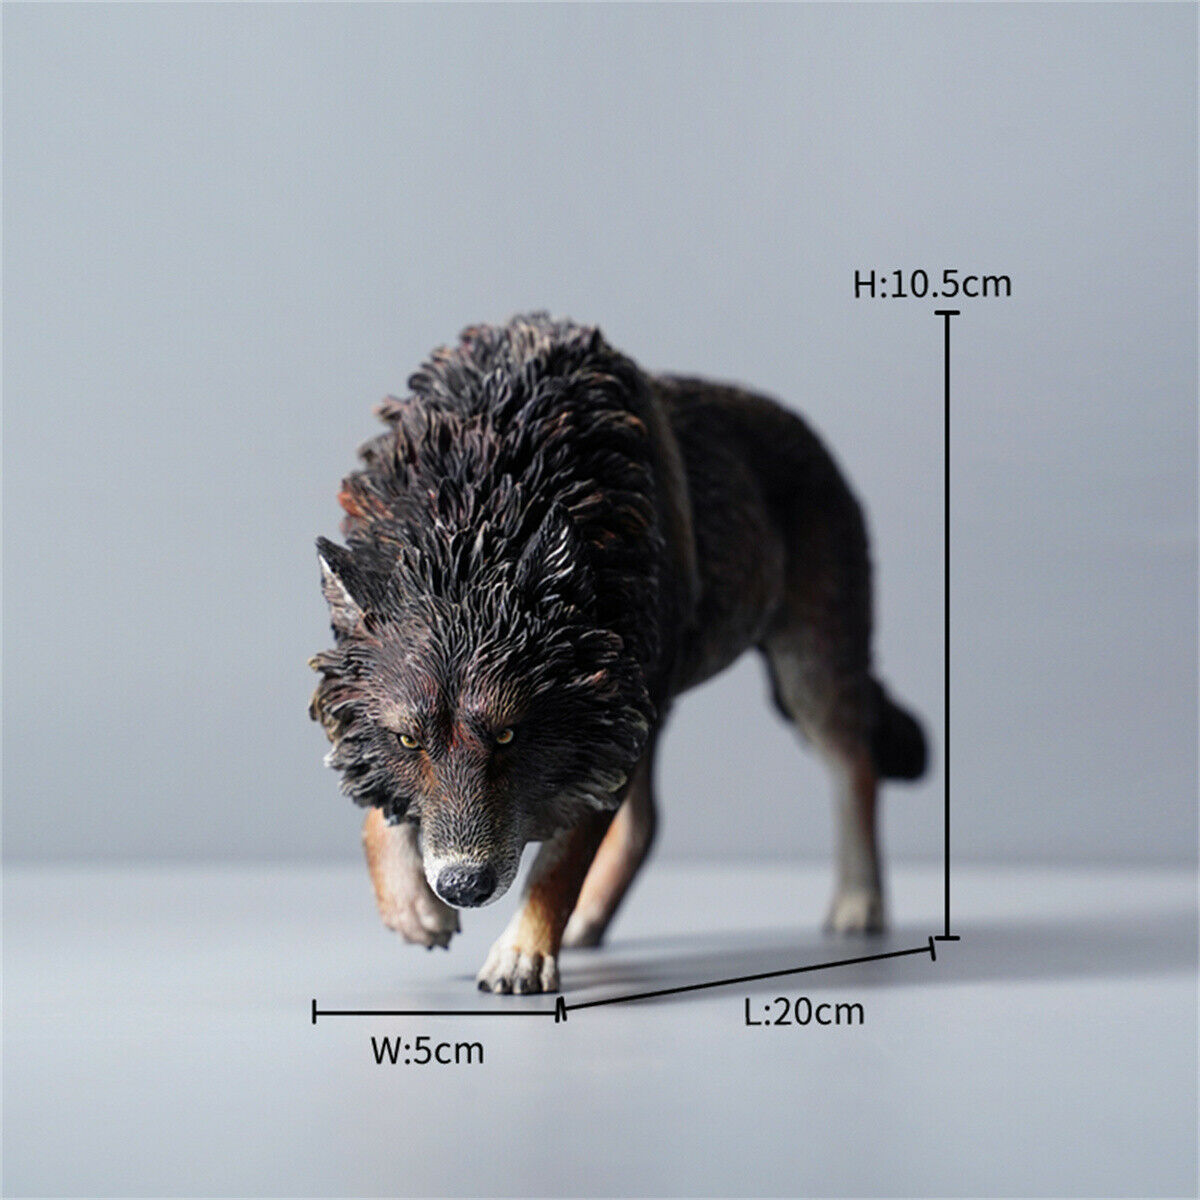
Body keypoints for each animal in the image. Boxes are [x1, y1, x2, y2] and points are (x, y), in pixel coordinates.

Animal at [310, 314, 926, 994]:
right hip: (652, 708)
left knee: (856, 766)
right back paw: (588, 924)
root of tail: (815, 442)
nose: (463, 886)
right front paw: (412, 907)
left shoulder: (595, 740)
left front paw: (522, 953)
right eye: (408, 741)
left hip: (805, 676)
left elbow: (556, 868)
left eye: (509, 735)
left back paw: (860, 903)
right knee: (646, 823)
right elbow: (376, 804)